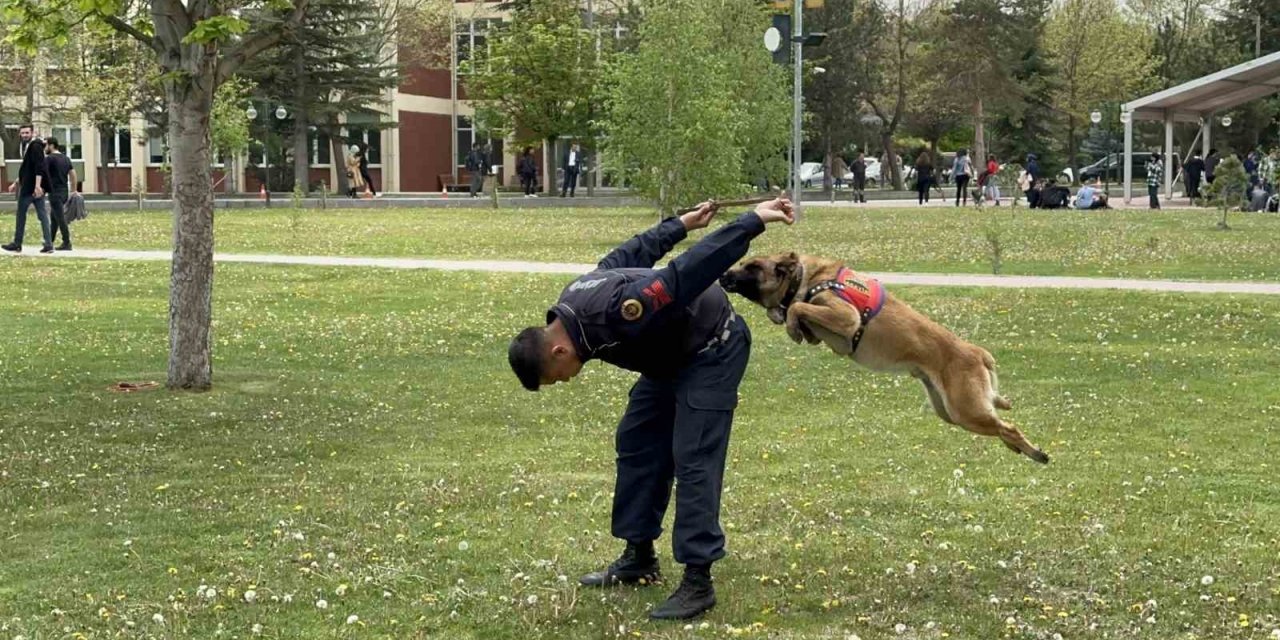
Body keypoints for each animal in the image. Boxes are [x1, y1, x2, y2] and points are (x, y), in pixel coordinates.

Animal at [721, 253, 1049, 465]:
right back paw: (1017, 447)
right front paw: (782, 318)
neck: (805, 277)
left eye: (752, 266)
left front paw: (788, 322)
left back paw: (1036, 453)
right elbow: (794, 311)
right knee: (999, 421)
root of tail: (977, 352)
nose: (723, 275)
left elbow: (797, 307)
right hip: (951, 411)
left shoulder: (846, 317)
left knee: (1009, 426)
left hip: (964, 410)